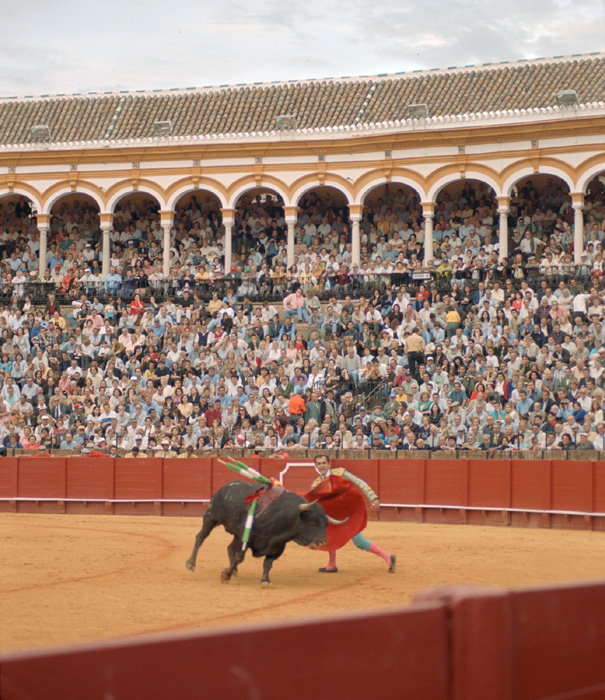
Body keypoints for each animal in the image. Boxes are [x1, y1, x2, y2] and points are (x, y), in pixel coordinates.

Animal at [184, 482, 344, 584]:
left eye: (325, 524)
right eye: (311, 522)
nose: (322, 542)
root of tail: (225, 487)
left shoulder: (277, 546)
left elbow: (268, 563)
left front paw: (265, 580)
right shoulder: (245, 538)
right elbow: (239, 557)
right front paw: (225, 576)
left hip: (234, 532)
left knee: (229, 547)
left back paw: (233, 571)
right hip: (211, 516)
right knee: (201, 537)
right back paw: (191, 564)